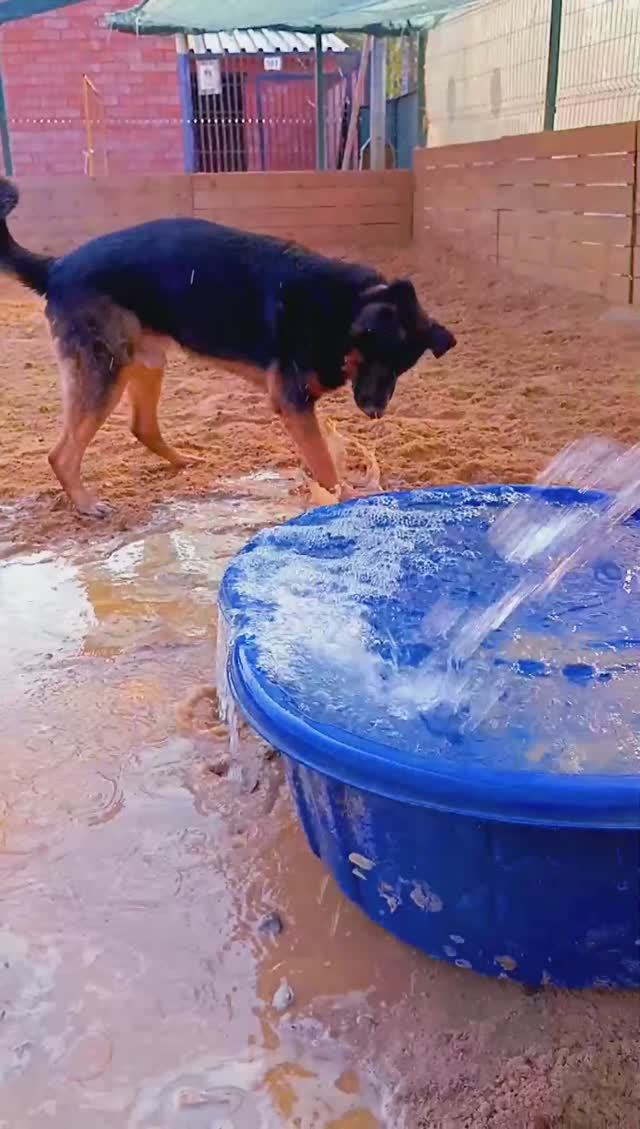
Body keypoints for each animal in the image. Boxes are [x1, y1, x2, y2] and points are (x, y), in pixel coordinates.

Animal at [0, 178, 456, 517]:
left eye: (401, 368)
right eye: (379, 357)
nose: (376, 412)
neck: (344, 309)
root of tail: (57, 266)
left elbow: (321, 456)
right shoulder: (294, 404)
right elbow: (326, 468)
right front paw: (339, 501)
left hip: (145, 362)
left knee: (142, 427)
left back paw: (185, 462)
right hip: (104, 373)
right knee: (61, 455)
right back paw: (86, 504)